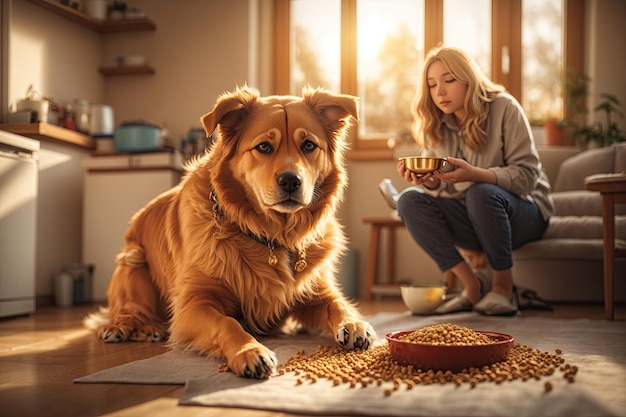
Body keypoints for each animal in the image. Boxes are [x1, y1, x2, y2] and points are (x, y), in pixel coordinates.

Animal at [84, 84, 372, 376]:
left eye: (309, 145)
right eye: (264, 146)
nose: (291, 181)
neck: (272, 236)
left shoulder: (317, 293)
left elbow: (338, 304)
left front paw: (354, 324)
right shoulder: (192, 304)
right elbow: (227, 323)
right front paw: (249, 351)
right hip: (133, 262)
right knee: (127, 310)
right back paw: (129, 327)